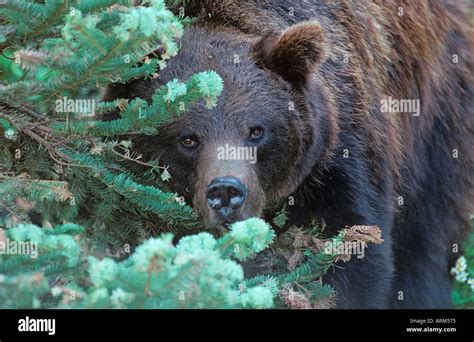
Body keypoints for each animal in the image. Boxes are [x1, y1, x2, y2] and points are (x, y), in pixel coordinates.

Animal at [104, 0, 474, 308]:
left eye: (257, 131)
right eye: (189, 139)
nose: (226, 192)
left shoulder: (340, 151)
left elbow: (351, 252)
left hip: (437, 118)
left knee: (425, 242)